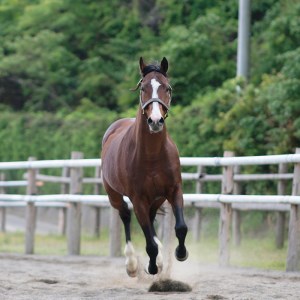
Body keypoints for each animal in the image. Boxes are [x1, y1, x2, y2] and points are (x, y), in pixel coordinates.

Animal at [102, 56, 189, 276]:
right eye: (143, 89)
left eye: (168, 88)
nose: (155, 121)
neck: (152, 156)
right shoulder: (138, 199)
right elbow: (149, 243)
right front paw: (151, 266)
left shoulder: (174, 190)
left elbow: (181, 227)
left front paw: (180, 253)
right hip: (114, 195)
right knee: (125, 215)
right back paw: (132, 264)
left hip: (157, 198)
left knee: (150, 218)